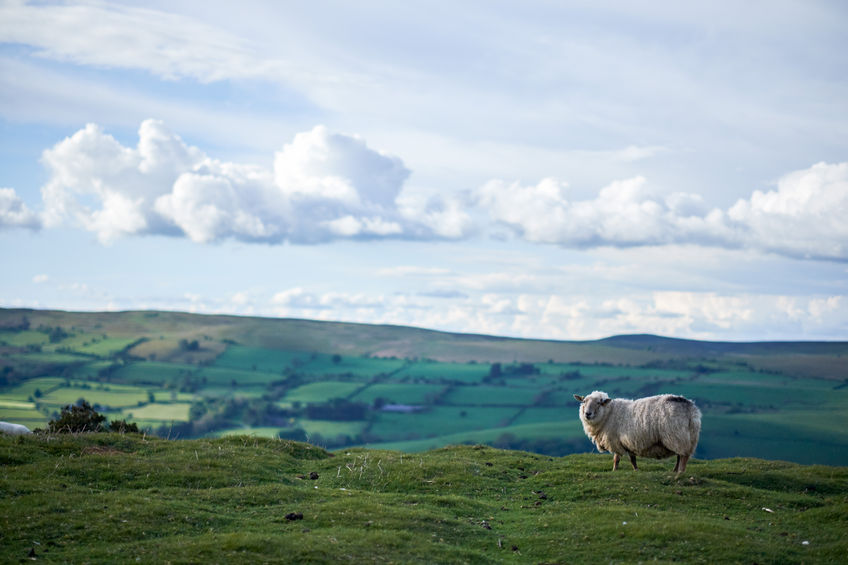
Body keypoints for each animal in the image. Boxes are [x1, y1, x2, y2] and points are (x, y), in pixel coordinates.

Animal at [576, 390, 704, 474]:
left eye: (598, 403)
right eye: (584, 401)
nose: (587, 414)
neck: (609, 413)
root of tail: (691, 409)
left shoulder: (615, 441)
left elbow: (616, 459)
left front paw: (614, 471)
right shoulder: (629, 442)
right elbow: (632, 459)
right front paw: (636, 470)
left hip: (677, 436)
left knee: (683, 457)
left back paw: (680, 472)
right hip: (687, 437)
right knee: (679, 456)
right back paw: (675, 471)